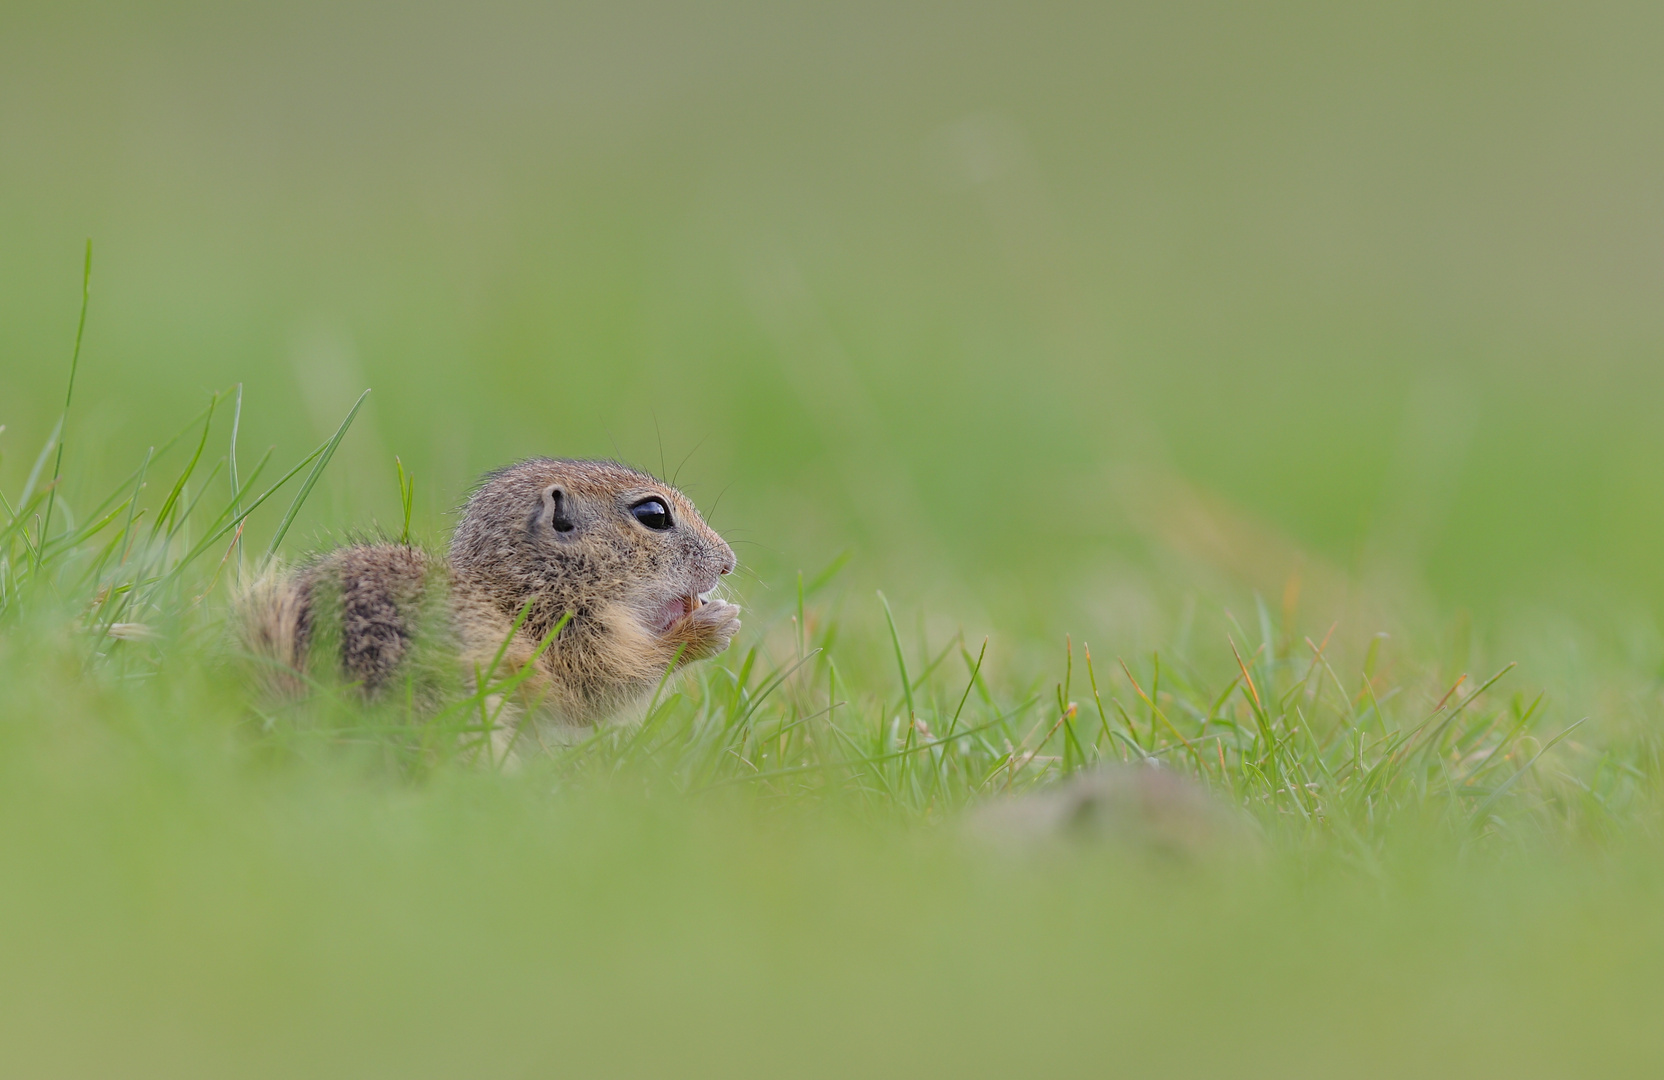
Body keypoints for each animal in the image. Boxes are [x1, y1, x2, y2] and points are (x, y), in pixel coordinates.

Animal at [239, 455, 742, 732]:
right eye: (654, 514)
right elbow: (610, 685)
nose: (728, 561)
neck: (527, 584)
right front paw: (709, 627)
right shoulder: (570, 639)